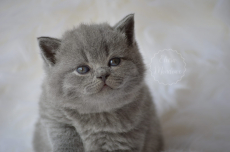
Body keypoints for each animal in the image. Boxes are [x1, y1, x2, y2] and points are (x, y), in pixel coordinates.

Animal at [32, 13, 164, 152]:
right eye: (82, 69)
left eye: (114, 61)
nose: (102, 74)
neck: (97, 114)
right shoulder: (56, 121)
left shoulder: (127, 138)